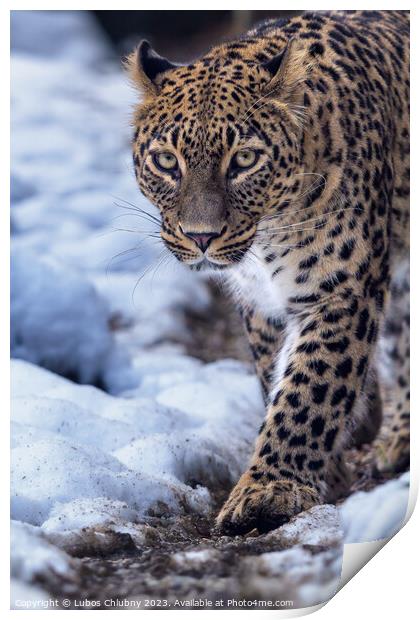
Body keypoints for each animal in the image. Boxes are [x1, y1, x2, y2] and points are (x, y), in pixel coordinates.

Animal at [126, 8, 408, 532]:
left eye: (244, 159)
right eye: (167, 161)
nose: (200, 237)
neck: (268, 238)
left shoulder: (340, 290)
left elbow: (310, 388)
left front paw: (271, 490)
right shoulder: (261, 303)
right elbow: (276, 376)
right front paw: (327, 470)